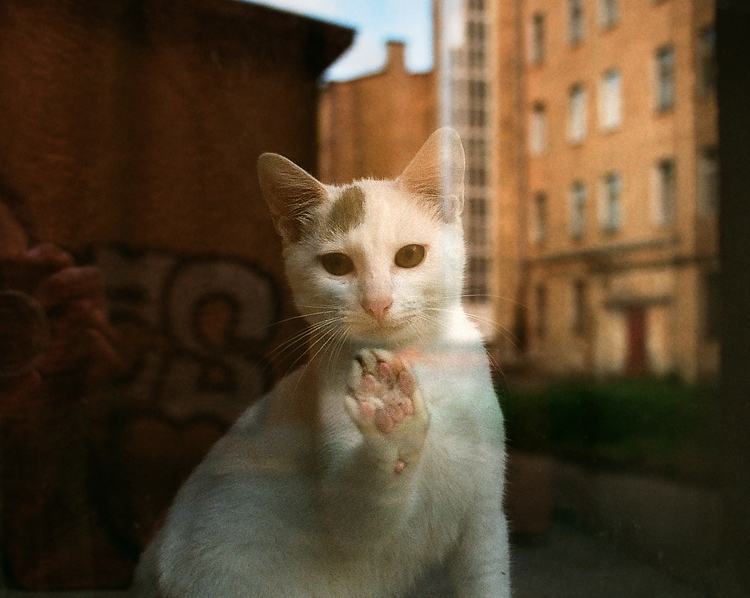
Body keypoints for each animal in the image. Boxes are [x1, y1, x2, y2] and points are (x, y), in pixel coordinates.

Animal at [134, 129, 512, 596]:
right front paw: (392, 418)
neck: (417, 362)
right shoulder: (353, 514)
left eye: (409, 256)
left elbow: (487, 576)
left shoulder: (485, 519)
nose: (377, 302)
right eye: (336, 265)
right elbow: (360, 515)